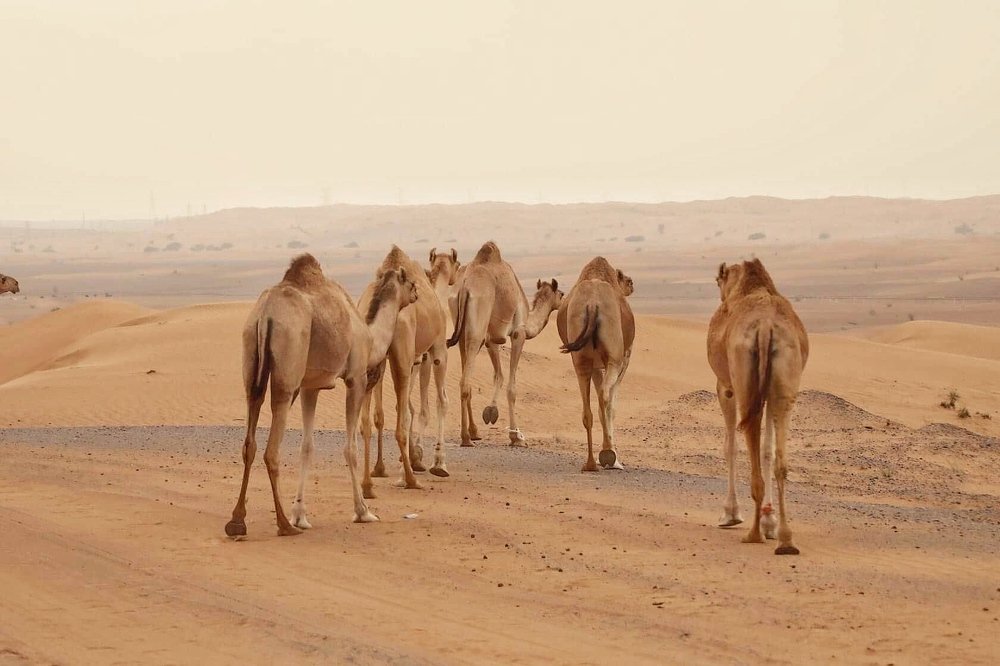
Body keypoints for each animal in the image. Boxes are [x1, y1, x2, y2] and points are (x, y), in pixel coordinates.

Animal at [224, 254, 417, 537]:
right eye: (412, 282)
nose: (416, 294)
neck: (370, 336)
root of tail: (265, 314)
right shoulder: (355, 378)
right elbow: (350, 447)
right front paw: (363, 511)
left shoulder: (310, 387)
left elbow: (307, 447)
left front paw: (300, 515)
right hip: (287, 371)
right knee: (272, 449)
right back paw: (283, 525)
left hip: (251, 361)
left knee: (250, 437)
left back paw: (238, 521)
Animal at [358, 246, 453, 499]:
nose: (416, 294)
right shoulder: (435, 351)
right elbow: (438, 403)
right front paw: (437, 463)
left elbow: (382, 415)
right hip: (406, 356)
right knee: (404, 415)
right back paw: (407, 478)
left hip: (379, 364)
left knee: (372, 419)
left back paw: (374, 477)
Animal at [447, 241, 563, 446]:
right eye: (561, 294)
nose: (565, 298)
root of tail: (464, 287)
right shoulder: (518, 334)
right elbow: (511, 387)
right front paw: (516, 437)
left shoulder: (491, 340)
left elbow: (499, 376)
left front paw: (490, 412)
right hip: (476, 331)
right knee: (465, 382)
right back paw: (466, 438)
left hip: (461, 332)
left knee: (465, 375)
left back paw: (473, 432)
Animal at [556, 257, 635, 471]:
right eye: (624, 278)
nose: (631, 283)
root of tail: (592, 305)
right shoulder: (623, 358)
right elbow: (611, 407)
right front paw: (616, 460)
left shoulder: (596, 366)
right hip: (614, 358)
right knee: (605, 398)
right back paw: (609, 456)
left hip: (580, 359)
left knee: (588, 411)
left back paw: (591, 463)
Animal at [707, 258, 809, 555]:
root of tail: (765, 327)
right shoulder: (767, 394)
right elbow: (767, 451)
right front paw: (770, 522)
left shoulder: (725, 386)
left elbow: (729, 447)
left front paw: (730, 514)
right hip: (783, 388)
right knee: (780, 460)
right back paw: (785, 539)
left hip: (744, 383)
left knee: (751, 451)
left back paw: (753, 533)